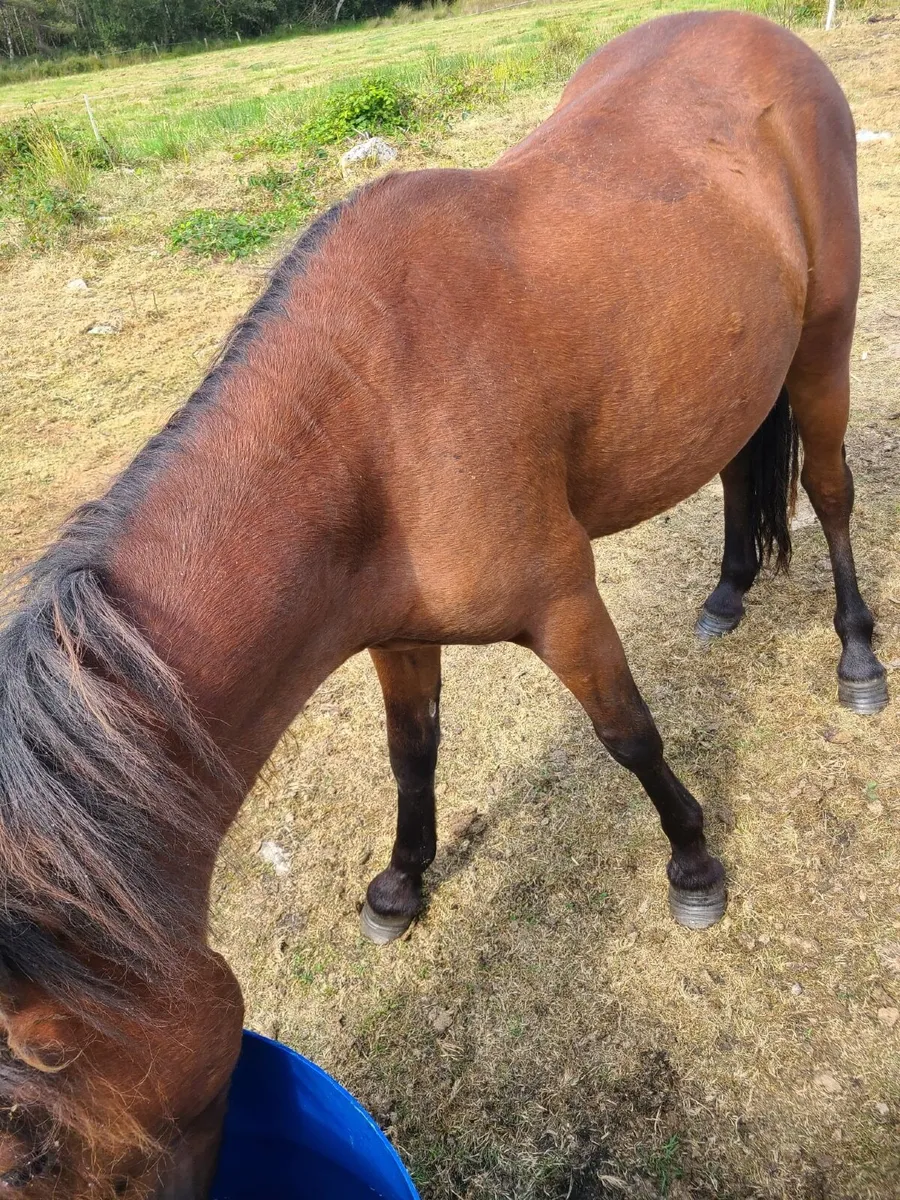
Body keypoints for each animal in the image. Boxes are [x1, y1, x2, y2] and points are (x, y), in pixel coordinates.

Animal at [0, 9, 888, 1196]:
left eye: (32, 1156)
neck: (370, 418)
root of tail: (769, 39)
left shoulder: (564, 601)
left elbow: (628, 734)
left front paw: (695, 864)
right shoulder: (393, 632)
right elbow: (411, 752)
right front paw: (400, 884)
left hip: (825, 336)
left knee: (829, 493)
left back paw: (856, 658)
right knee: (745, 469)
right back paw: (726, 594)